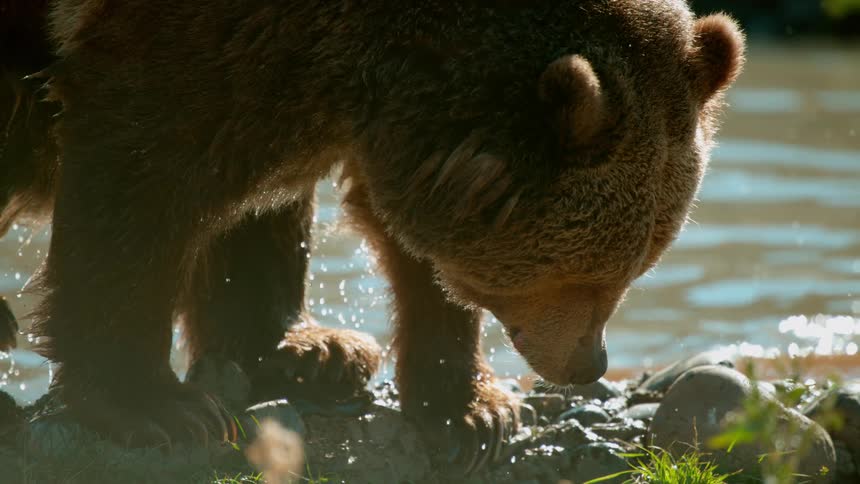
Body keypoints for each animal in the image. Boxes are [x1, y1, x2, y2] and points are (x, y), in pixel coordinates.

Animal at [0, 0, 744, 471]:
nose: (589, 362)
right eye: (590, 275)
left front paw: (468, 411)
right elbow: (139, 183)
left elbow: (271, 208)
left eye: (639, 265)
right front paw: (157, 407)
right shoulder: (165, 50)